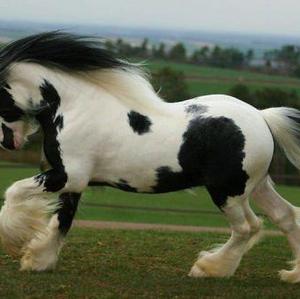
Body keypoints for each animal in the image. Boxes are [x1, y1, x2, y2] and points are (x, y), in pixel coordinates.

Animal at [0, 32, 300, 284]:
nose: (7, 142)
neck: (76, 108)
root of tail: (262, 117)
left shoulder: (68, 176)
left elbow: (14, 192)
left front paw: (13, 241)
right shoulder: (75, 182)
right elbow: (62, 221)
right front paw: (39, 260)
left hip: (227, 191)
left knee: (247, 228)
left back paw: (208, 268)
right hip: (256, 185)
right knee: (285, 216)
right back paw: (291, 275)